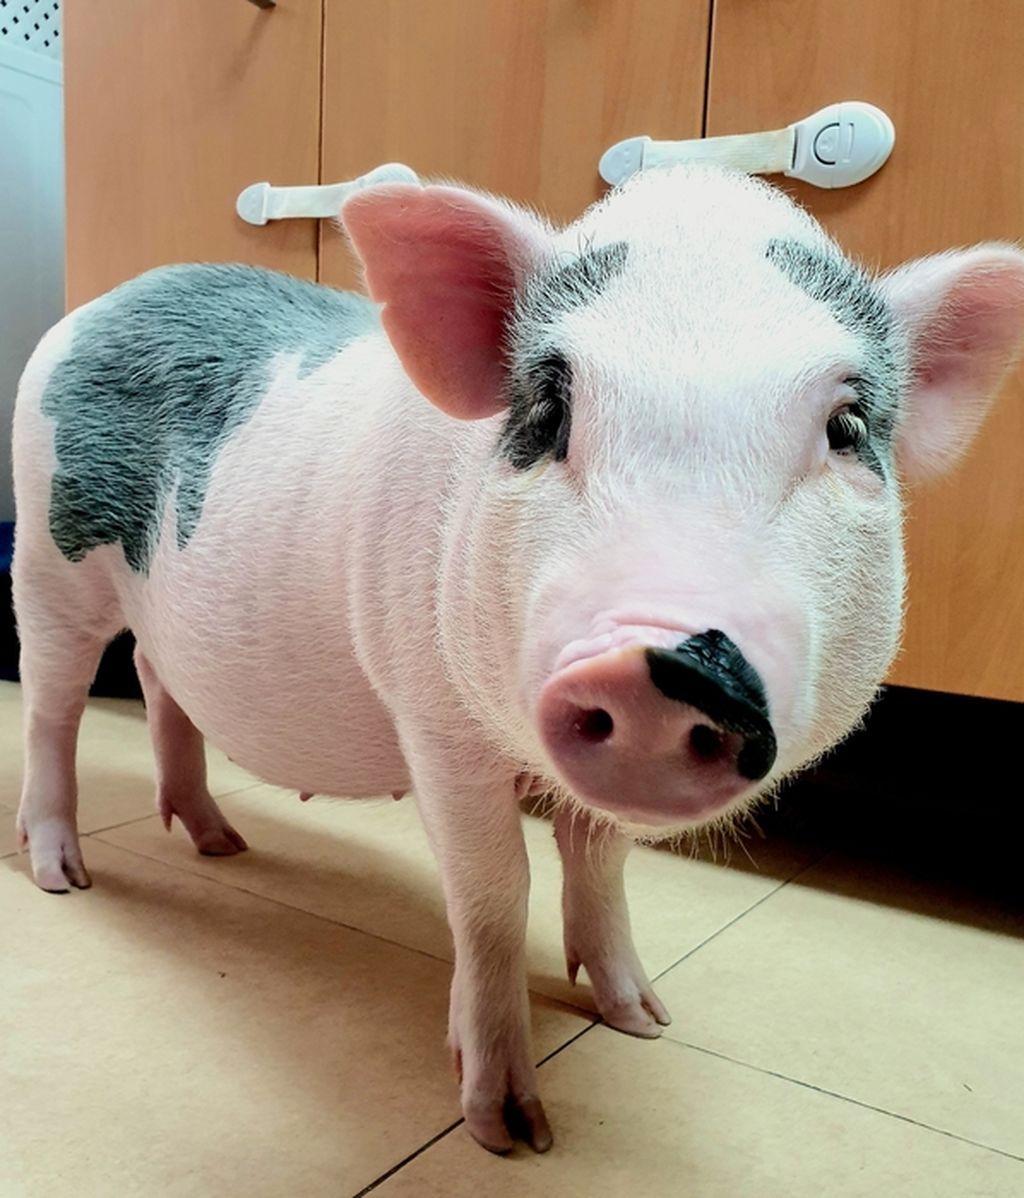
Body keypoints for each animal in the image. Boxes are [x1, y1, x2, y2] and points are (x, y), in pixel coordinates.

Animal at [11, 164, 1024, 1153]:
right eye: (550, 409)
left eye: (846, 429)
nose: (666, 662)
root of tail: (103, 304)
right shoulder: (432, 718)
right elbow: (494, 893)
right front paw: (512, 1132)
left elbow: (600, 862)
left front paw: (645, 1021)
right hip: (49, 559)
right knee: (53, 710)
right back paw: (64, 874)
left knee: (157, 680)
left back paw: (221, 842)